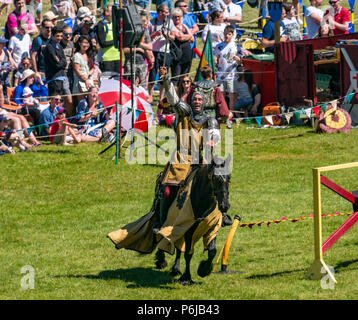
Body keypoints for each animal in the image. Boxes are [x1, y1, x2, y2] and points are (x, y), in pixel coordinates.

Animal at [155, 155, 231, 284]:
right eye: (215, 178)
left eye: (229, 178)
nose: (224, 205)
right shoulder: (188, 227)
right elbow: (188, 253)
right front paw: (186, 277)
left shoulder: (211, 227)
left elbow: (212, 250)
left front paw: (204, 270)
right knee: (161, 233)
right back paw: (161, 261)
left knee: (178, 246)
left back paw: (176, 269)